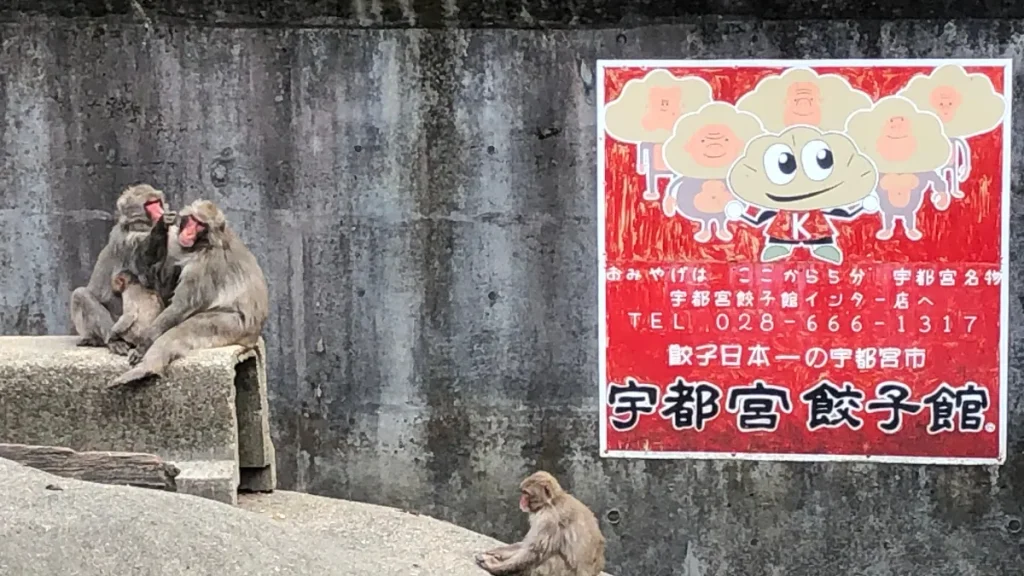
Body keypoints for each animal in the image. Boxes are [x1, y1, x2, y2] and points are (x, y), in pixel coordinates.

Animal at [70, 183, 166, 354]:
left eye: (157, 202)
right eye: (149, 204)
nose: (161, 213)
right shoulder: (129, 243)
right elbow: (144, 278)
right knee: (80, 295)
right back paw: (112, 341)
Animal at [108, 198, 270, 389]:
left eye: (200, 225)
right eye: (192, 219)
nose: (189, 231)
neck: (200, 245)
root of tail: (253, 336)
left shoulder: (205, 264)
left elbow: (182, 306)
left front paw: (143, 344)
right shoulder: (176, 244)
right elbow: (154, 279)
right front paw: (161, 225)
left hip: (233, 326)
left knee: (178, 333)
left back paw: (146, 368)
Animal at [473, 471, 602, 573]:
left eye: (526, 493)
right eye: (522, 492)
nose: (521, 501)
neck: (551, 502)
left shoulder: (548, 519)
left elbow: (535, 550)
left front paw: (496, 566)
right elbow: (527, 545)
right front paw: (498, 552)